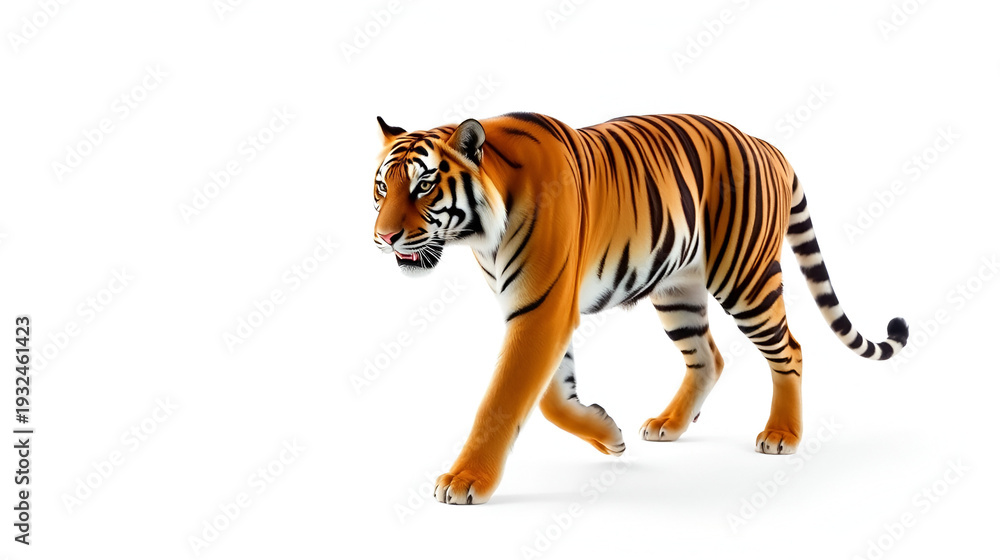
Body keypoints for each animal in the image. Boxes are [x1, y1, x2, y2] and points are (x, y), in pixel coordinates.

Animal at [371, 112, 908, 505]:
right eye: (382, 187)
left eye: (423, 186)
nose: (383, 237)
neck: (483, 234)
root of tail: (766, 145)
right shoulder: (540, 310)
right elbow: (549, 397)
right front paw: (608, 434)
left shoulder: (540, 310)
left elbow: (503, 401)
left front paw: (465, 481)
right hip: (678, 291)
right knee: (708, 357)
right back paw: (669, 424)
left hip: (746, 279)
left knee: (789, 349)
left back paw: (782, 434)